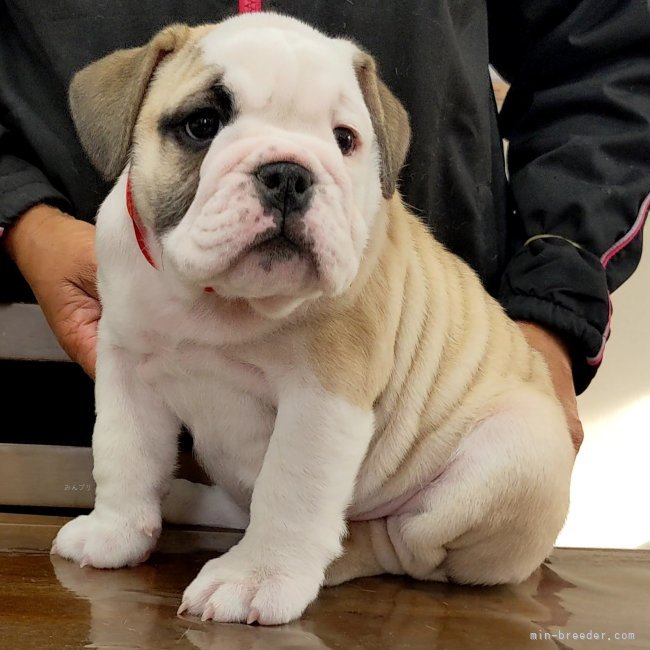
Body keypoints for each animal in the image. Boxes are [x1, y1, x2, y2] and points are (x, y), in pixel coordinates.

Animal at [54, 12, 572, 624]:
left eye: (344, 140)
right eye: (202, 125)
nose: (288, 173)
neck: (219, 300)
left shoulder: (322, 400)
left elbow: (290, 488)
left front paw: (256, 578)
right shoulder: (127, 368)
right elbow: (122, 453)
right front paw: (113, 533)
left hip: (514, 451)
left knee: (404, 544)